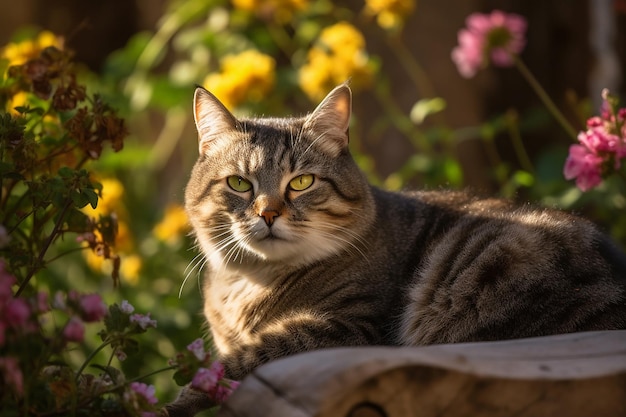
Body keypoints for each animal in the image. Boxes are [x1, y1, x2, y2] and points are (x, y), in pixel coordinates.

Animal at [162, 83, 624, 414]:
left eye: (301, 182)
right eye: (240, 183)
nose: (269, 213)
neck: (252, 283)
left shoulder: (352, 329)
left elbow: (243, 358)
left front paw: (180, 397)